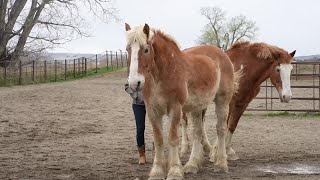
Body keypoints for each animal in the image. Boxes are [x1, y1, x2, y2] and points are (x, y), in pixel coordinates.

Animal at [124, 23, 238, 179]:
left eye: (146, 49)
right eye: (127, 49)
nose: (135, 83)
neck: (162, 75)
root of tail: (222, 54)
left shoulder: (175, 108)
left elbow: (172, 138)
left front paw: (174, 171)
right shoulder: (153, 111)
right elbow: (159, 139)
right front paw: (157, 171)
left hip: (222, 101)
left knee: (220, 129)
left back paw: (220, 163)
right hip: (197, 107)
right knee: (197, 132)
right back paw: (192, 165)